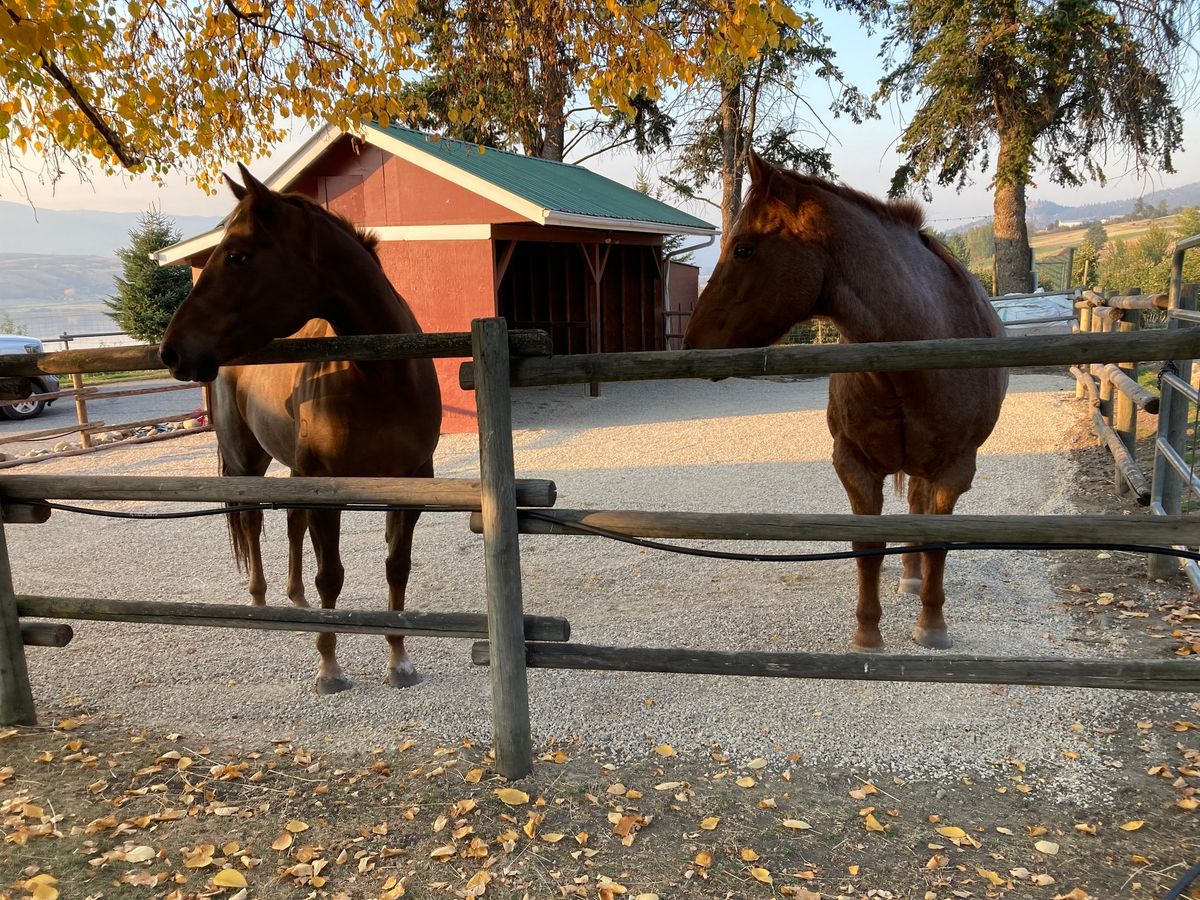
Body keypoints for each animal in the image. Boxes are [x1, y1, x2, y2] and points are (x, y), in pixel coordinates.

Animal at [158, 165, 441, 696]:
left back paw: (296, 597)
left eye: (238, 255)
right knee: (252, 522)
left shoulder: (411, 483)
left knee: (290, 521)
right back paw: (260, 598)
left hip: (294, 468)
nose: (173, 351)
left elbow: (397, 567)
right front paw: (328, 667)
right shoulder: (328, 490)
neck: (382, 374)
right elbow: (331, 575)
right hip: (247, 461)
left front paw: (399, 659)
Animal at [681, 151, 1008, 652]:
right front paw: (867, 632)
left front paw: (932, 625)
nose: (691, 344)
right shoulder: (854, 465)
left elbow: (935, 543)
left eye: (743, 249)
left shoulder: (954, 471)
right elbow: (867, 548)